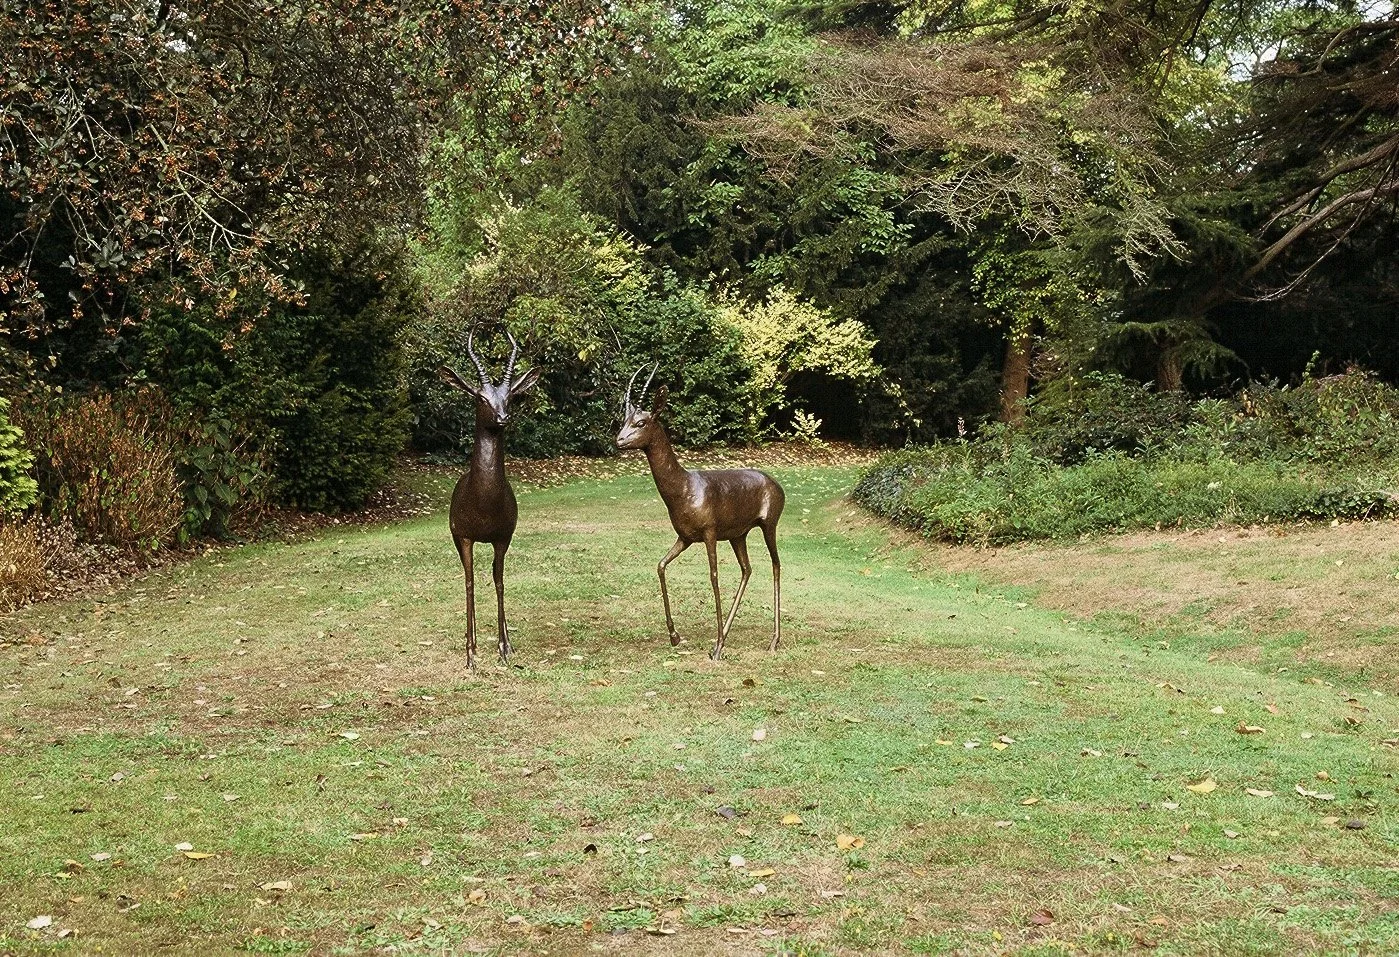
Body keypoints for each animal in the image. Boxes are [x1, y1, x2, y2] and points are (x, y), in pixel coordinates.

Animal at [436, 329, 541, 671]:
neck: (481, 499)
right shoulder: (464, 537)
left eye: (510, 396)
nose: (502, 416)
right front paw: (471, 653)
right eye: (480, 397)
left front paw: (504, 647)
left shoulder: (502, 538)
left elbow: (499, 581)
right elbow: (469, 582)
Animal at [616, 364, 785, 660]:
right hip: (738, 536)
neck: (684, 487)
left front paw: (716, 648)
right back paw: (727, 636)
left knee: (775, 565)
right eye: (625, 420)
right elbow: (660, 566)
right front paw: (675, 636)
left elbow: (714, 578)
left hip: (768, 527)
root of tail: (776, 485)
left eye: (641, 423)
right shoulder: (685, 538)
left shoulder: (709, 535)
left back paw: (772, 641)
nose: (619, 440)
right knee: (747, 569)